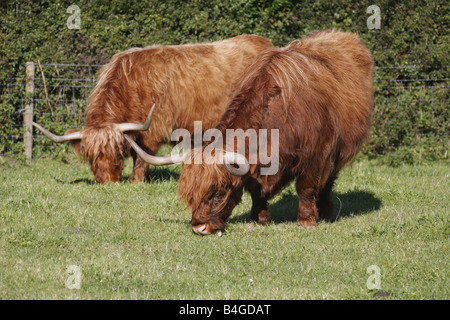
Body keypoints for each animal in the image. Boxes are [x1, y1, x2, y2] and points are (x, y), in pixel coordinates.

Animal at [32, 34, 270, 182]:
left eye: (118, 154)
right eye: (91, 156)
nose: (107, 182)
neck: (130, 84)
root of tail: (263, 42)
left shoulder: (153, 129)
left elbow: (142, 156)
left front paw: (136, 180)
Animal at [125, 30, 372, 234]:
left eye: (218, 190)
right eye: (192, 196)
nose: (199, 227)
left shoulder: (316, 155)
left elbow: (306, 188)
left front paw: (306, 221)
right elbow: (256, 191)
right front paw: (258, 218)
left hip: (339, 150)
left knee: (329, 180)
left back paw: (327, 210)